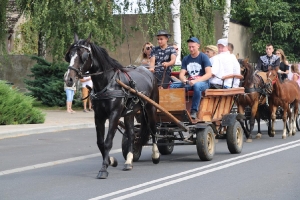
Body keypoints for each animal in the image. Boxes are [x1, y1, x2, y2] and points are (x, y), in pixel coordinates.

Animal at [64, 33, 161, 179]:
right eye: (70, 55)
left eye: (83, 55)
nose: (68, 79)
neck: (108, 83)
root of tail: (148, 72)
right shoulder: (98, 117)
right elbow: (100, 143)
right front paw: (111, 161)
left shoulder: (114, 115)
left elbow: (108, 141)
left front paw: (104, 168)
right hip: (130, 113)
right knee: (131, 134)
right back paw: (128, 161)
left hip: (151, 108)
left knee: (153, 129)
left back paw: (155, 155)